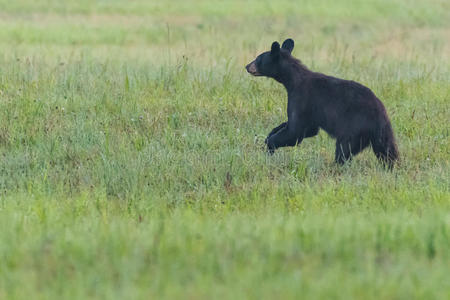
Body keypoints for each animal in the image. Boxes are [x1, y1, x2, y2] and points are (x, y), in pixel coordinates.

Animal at [248, 38, 400, 168]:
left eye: (258, 59)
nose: (247, 66)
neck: (292, 80)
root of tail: (380, 117)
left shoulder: (302, 99)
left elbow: (295, 131)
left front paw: (270, 144)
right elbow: (307, 128)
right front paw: (271, 133)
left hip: (354, 128)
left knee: (344, 149)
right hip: (383, 134)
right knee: (387, 152)